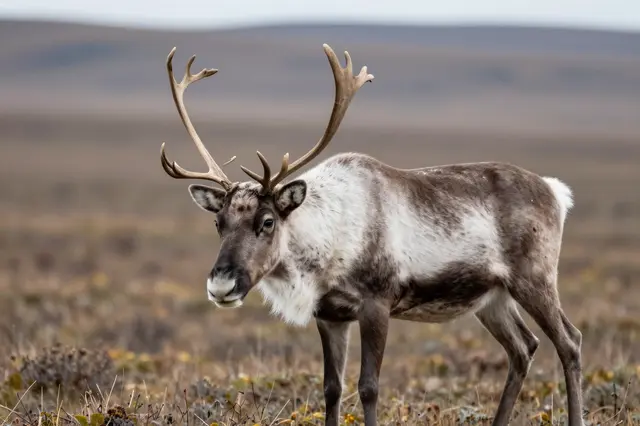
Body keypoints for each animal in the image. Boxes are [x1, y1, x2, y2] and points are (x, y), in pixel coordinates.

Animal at [158, 44, 584, 426]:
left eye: (267, 221)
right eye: (219, 222)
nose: (221, 286)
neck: (324, 242)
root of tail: (554, 191)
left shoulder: (376, 305)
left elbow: (368, 387)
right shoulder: (330, 315)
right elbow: (331, 388)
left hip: (534, 279)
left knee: (569, 342)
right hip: (492, 298)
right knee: (523, 348)